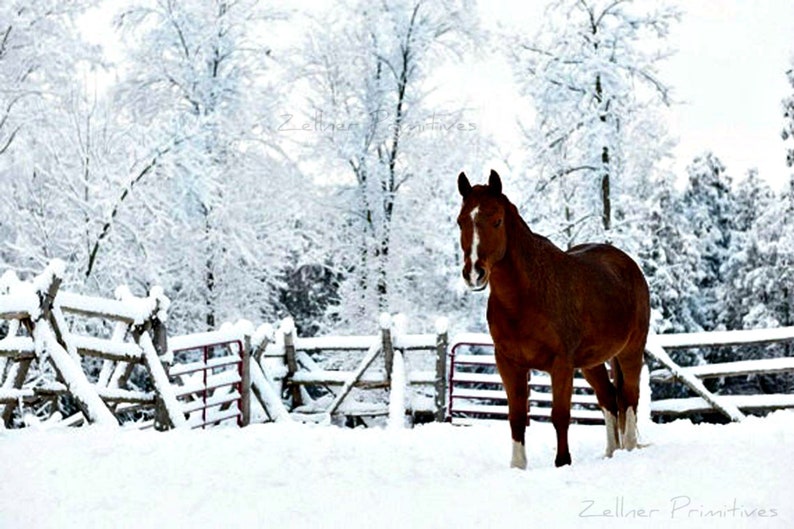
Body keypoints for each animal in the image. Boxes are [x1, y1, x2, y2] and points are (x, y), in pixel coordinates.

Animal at [454, 169, 648, 466]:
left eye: (497, 220)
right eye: (461, 221)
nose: (474, 273)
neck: (525, 298)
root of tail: (628, 264)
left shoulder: (561, 364)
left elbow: (560, 416)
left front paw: (563, 462)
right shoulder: (509, 363)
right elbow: (517, 418)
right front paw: (518, 466)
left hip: (631, 350)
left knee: (629, 399)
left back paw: (627, 449)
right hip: (592, 363)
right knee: (609, 400)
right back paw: (611, 452)